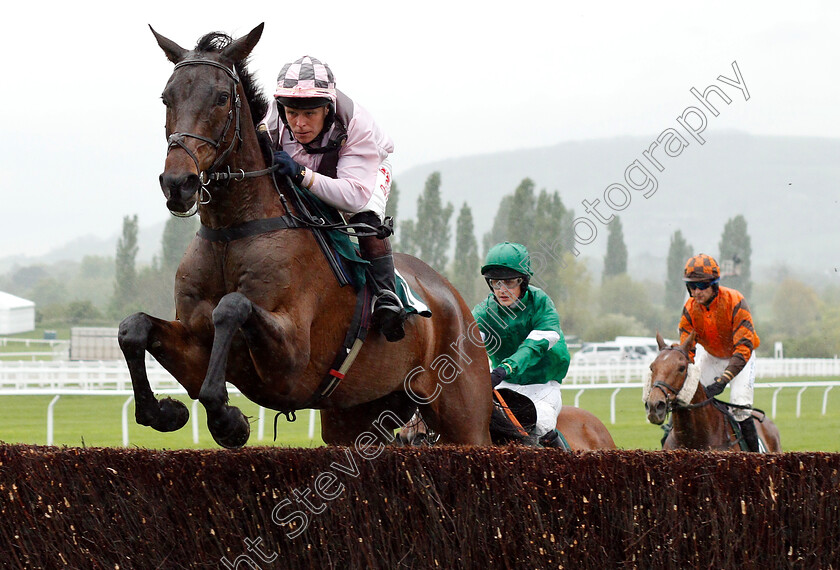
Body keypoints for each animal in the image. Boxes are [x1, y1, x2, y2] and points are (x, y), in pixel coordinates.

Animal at [121, 23, 496, 444]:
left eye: (221, 97)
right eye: (167, 97)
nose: (178, 183)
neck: (232, 233)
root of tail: (457, 301)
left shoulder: (291, 362)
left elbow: (231, 307)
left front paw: (228, 420)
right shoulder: (194, 343)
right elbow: (133, 327)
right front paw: (163, 411)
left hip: (465, 413)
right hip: (359, 414)